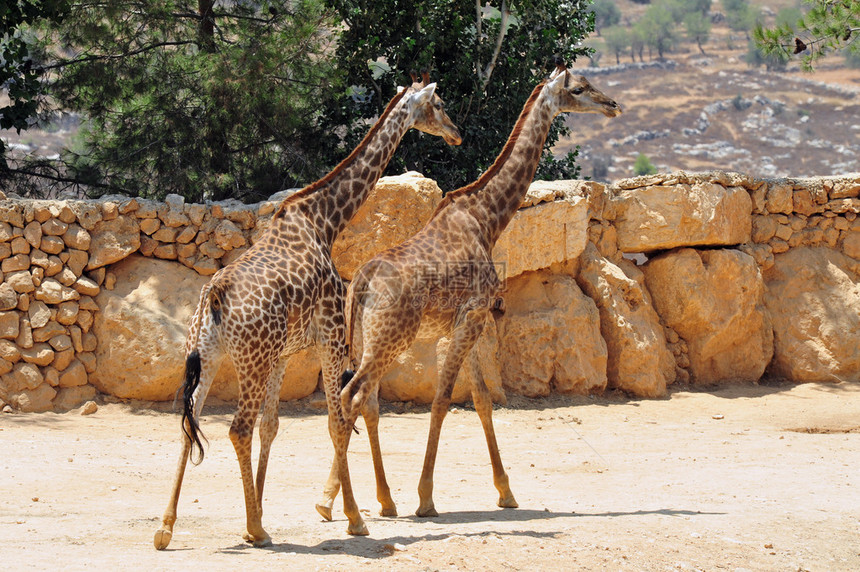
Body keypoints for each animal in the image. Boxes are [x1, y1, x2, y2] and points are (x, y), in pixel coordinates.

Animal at [155, 76, 464, 548]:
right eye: (440, 104)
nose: (456, 133)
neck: (325, 221)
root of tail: (215, 296)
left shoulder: (283, 354)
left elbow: (273, 426)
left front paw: (260, 510)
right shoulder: (331, 337)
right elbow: (336, 421)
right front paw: (353, 518)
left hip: (208, 354)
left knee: (190, 424)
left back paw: (168, 528)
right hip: (250, 359)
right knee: (236, 428)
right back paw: (255, 529)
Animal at [314, 62, 620, 520]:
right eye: (580, 89)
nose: (613, 105)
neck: (487, 217)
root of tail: (362, 283)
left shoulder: (465, 323)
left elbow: (481, 399)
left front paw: (506, 492)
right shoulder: (473, 315)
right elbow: (443, 399)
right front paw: (425, 498)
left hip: (368, 340)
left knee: (364, 401)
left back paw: (370, 500)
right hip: (390, 339)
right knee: (352, 397)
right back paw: (343, 506)